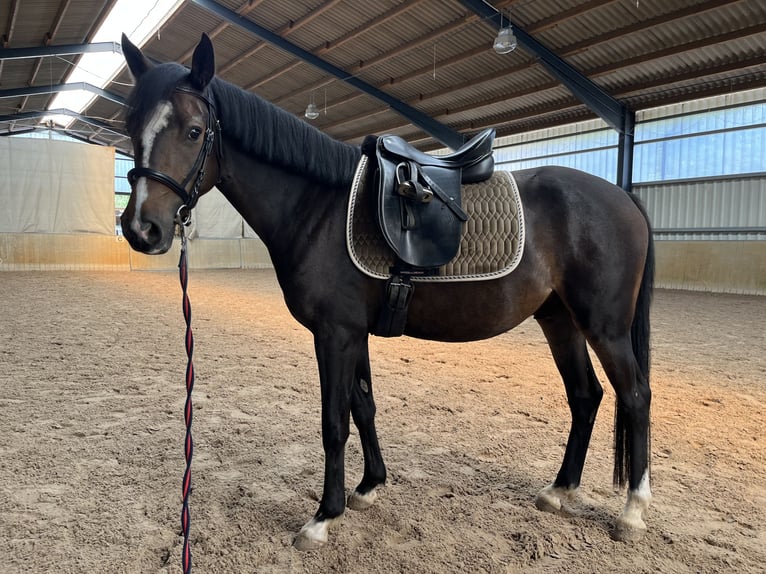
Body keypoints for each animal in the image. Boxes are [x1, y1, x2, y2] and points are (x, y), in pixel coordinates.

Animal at [119, 33, 654, 550]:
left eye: (193, 131)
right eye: (131, 124)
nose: (141, 229)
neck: (319, 207)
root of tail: (623, 196)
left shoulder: (334, 333)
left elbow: (334, 422)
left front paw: (323, 517)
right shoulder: (354, 332)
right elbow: (364, 407)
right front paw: (368, 486)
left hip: (604, 325)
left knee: (635, 395)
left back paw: (632, 512)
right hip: (559, 319)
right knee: (586, 395)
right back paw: (559, 491)